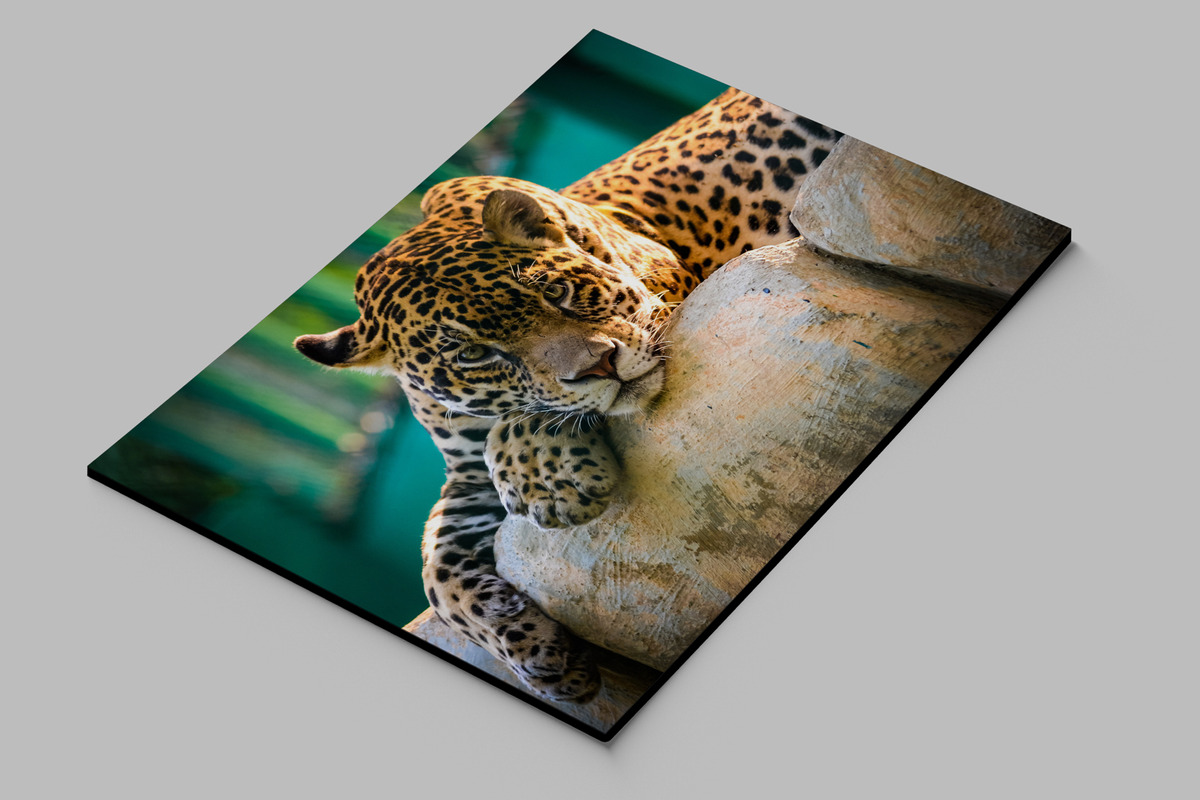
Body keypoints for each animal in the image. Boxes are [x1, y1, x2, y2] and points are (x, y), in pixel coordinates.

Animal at [295, 88, 840, 703]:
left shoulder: (673, 289)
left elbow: (537, 416)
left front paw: (544, 473)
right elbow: (437, 570)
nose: (600, 365)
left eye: (556, 292)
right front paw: (537, 653)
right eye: (476, 355)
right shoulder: (466, 477)